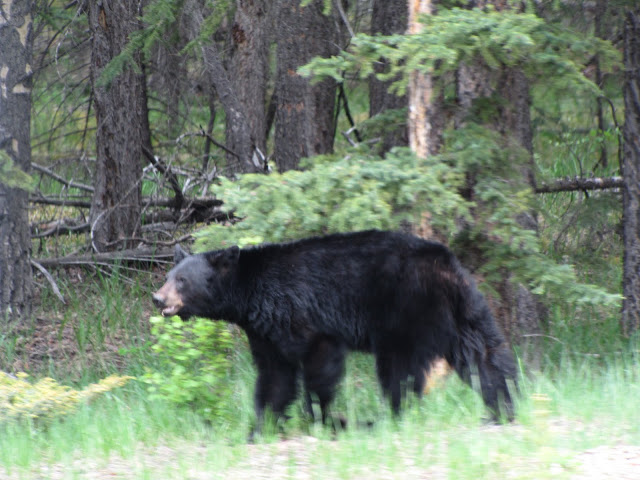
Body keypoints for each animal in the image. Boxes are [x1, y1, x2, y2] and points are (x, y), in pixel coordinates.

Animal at [152, 230, 517, 435]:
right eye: (168, 276)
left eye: (181, 280)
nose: (158, 298)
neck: (252, 294)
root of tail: (444, 263)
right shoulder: (264, 331)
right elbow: (275, 375)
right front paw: (261, 426)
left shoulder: (303, 315)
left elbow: (318, 365)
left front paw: (325, 418)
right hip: (463, 309)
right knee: (484, 355)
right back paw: (502, 407)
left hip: (406, 309)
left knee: (398, 370)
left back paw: (384, 418)